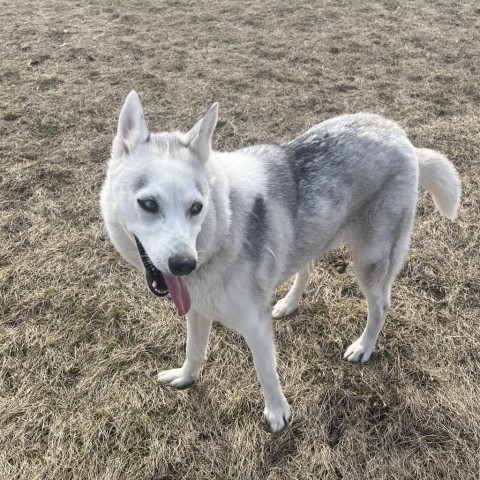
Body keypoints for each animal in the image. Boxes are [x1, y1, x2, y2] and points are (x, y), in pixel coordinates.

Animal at [100, 90, 462, 432]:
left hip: (371, 259)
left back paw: (363, 346)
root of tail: (402, 137)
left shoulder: (254, 324)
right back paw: (289, 303)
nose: (183, 264)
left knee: (381, 305)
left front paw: (277, 413)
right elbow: (194, 350)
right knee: (307, 265)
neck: (221, 228)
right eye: (148, 204)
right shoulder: (197, 308)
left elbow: (266, 371)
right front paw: (185, 378)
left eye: (196, 207)